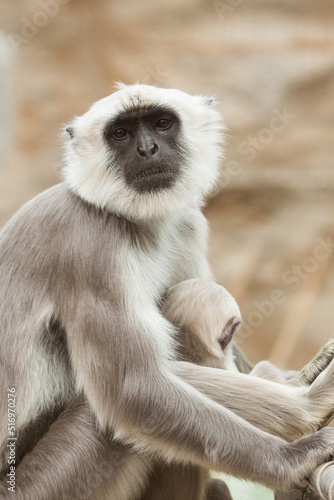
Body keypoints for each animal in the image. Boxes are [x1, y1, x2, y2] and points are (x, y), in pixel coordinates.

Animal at [0, 84, 334, 498]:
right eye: (121, 133)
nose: (147, 149)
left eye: (162, 123)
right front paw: (296, 457)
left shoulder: (186, 222)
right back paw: (311, 405)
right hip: (43, 485)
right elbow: (131, 389)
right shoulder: (87, 240)